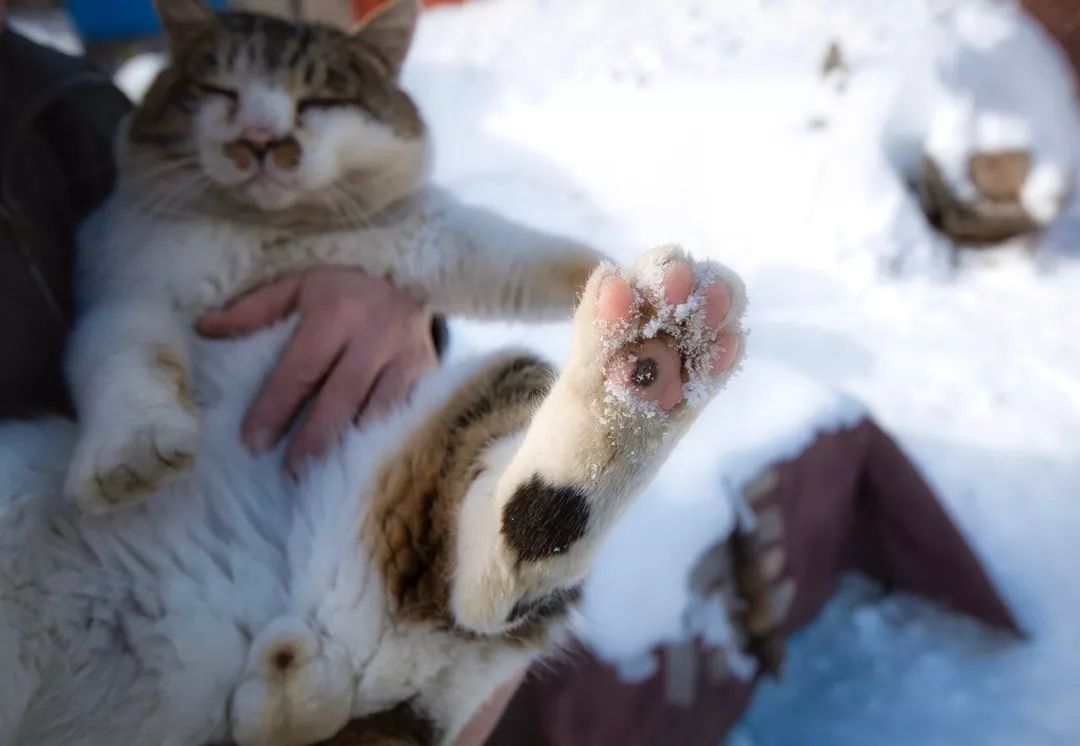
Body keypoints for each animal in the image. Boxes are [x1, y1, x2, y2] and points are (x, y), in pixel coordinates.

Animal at [0, 1, 747, 746]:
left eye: (320, 99)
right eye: (218, 90)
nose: (260, 139)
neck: (276, 233)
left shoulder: (432, 239)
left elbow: (518, 252)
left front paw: (606, 263)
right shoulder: (123, 290)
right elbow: (129, 354)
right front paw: (129, 457)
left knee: (492, 574)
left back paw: (651, 355)